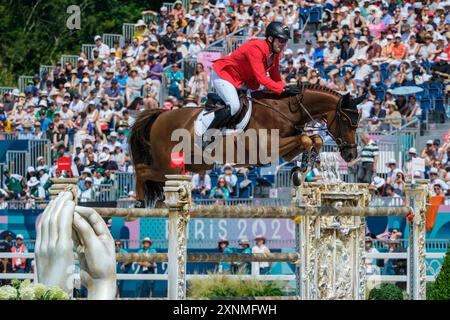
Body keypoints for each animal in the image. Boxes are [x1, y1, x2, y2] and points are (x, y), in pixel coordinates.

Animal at [129, 85, 362, 204]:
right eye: (345, 120)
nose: (351, 155)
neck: (286, 111)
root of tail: (161, 115)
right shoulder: (267, 148)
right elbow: (307, 139)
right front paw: (301, 171)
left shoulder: (287, 148)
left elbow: (315, 140)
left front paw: (300, 171)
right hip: (169, 166)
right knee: (141, 170)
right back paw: (139, 201)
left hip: (194, 165)